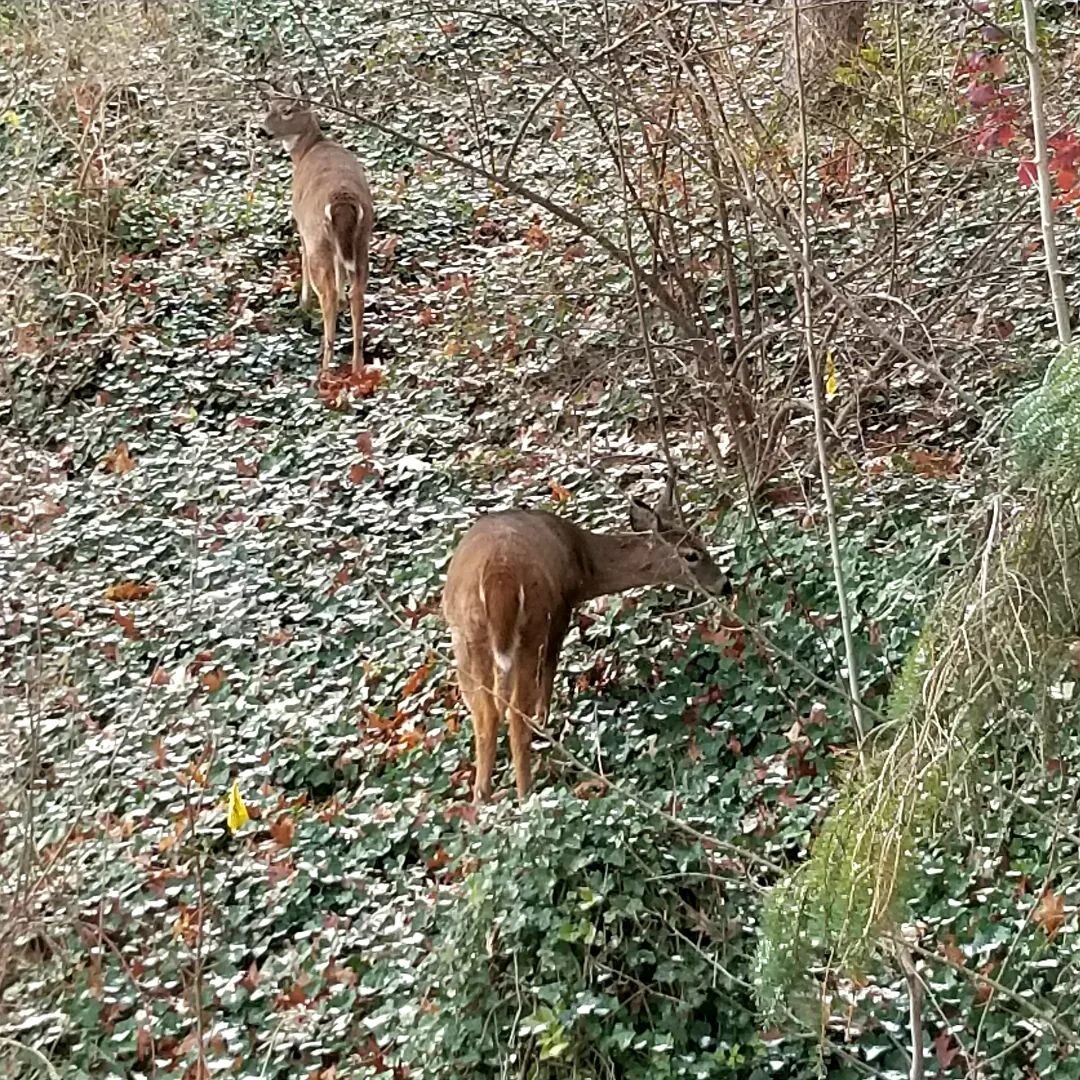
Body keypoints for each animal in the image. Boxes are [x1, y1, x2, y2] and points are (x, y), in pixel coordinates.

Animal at [258, 79, 373, 375]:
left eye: (287, 110)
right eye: (268, 107)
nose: (261, 131)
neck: (307, 150)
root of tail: (342, 200)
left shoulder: (300, 223)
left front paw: (302, 301)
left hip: (317, 238)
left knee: (327, 294)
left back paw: (325, 365)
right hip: (362, 237)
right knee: (358, 292)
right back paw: (357, 365)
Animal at [438, 481, 725, 803]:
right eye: (692, 554)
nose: (724, 585)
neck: (584, 563)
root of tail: (497, 578)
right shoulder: (561, 608)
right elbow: (550, 667)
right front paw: (543, 720)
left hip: (467, 635)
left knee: (485, 711)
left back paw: (482, 795)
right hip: (533, 622)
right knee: (515, 708)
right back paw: (525, 792)